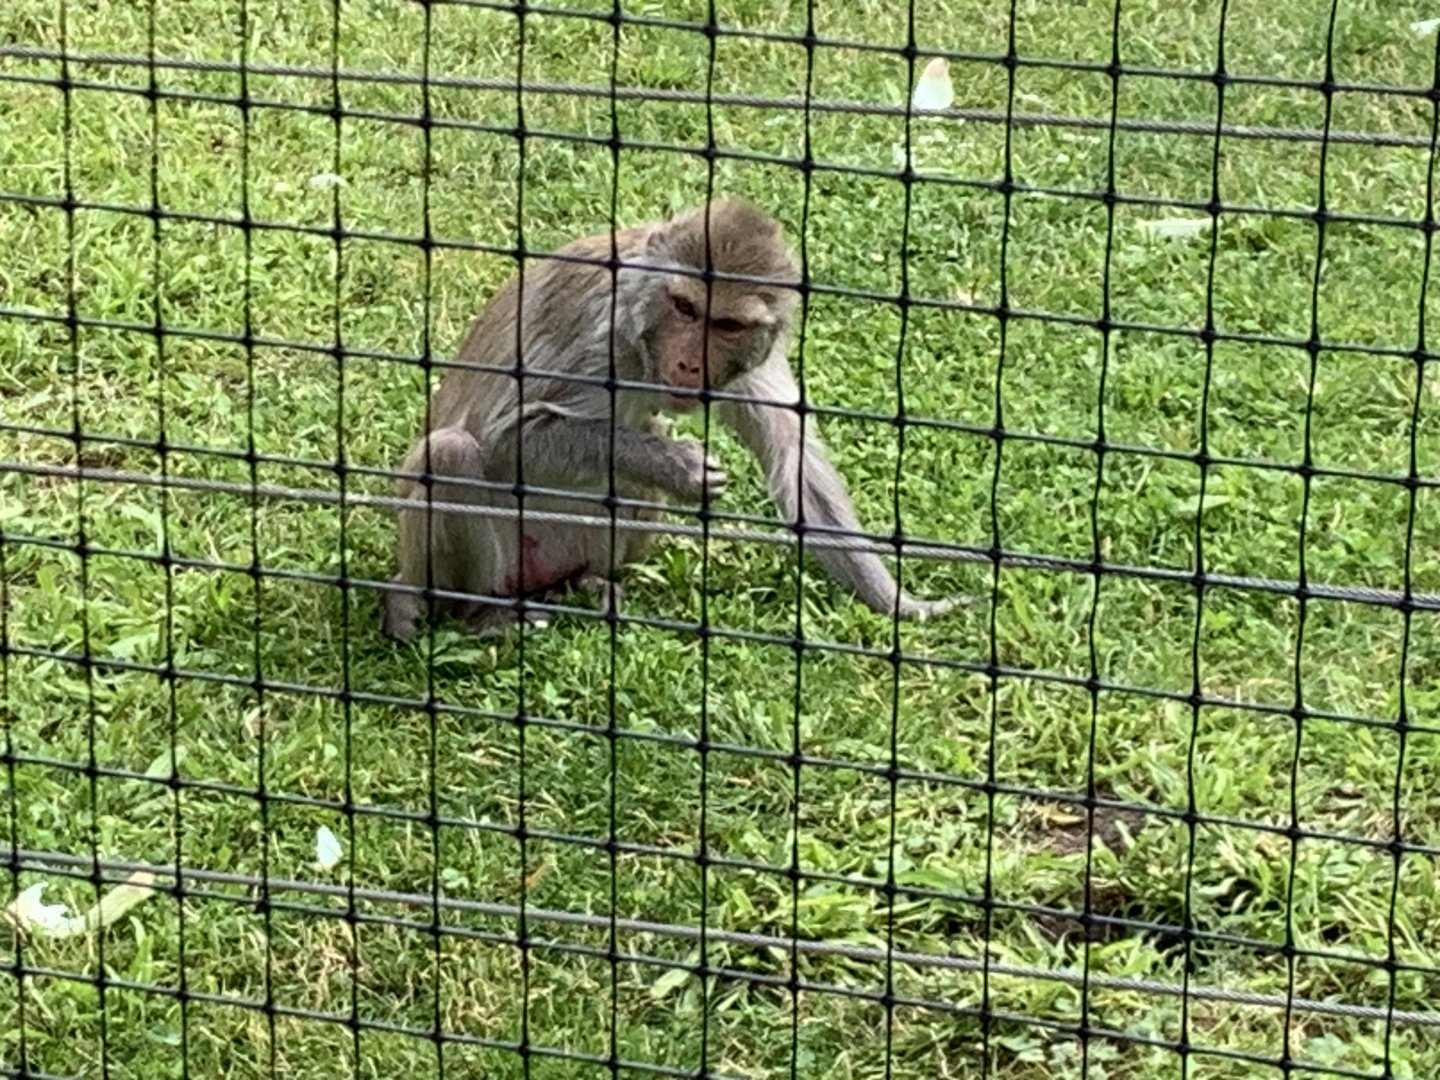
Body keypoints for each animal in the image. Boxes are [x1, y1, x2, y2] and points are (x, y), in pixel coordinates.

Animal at [379, 198, 957, 641]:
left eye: (725, 325)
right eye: (684, 307)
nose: (687, 364)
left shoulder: (754, 358)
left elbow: (795, 463)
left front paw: (899, 602)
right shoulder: (599, 338)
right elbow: (509, 437)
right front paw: (677, 467)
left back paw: (589, 584)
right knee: (451, 453)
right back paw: (478, 610)